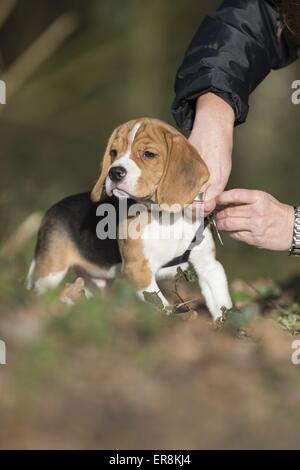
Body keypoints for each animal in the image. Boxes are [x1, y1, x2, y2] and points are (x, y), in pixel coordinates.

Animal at [27, 119, 232, 322]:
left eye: (149, 154)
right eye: (113, 152)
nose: (114, 172)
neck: (166, 216)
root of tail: (52, 209)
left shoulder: (209, 266)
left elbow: (222, 303)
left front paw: (226, 324)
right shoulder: (138, 270)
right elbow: (161, 305)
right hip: (50, 271)